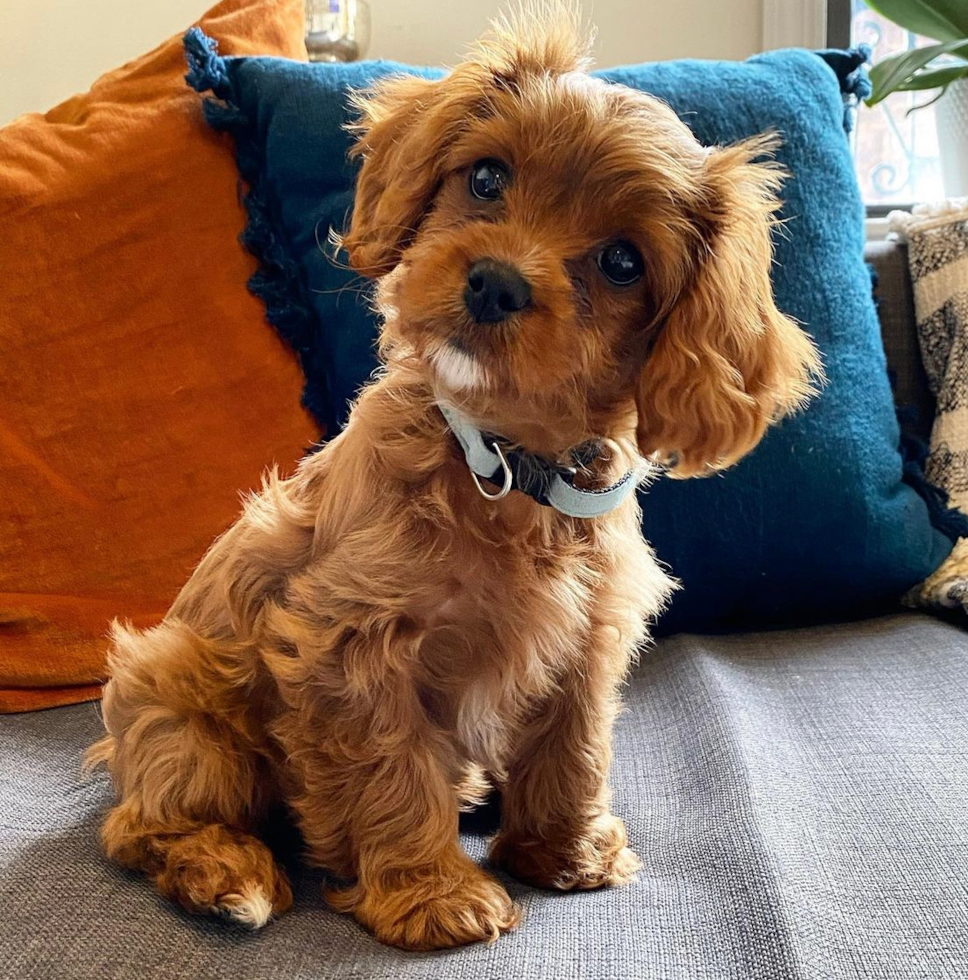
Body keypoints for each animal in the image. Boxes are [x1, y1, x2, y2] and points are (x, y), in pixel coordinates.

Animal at [89, 7, 816, 952]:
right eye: (486, 177)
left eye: (623, 262)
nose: (496, 281)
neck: (506, 465)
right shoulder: (350, 644)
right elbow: (393, 772)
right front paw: (434, 895)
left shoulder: (588, 640)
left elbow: (575, 746)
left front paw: (563, 852)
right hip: (183, 713)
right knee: (143, 826)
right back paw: (227, 874)